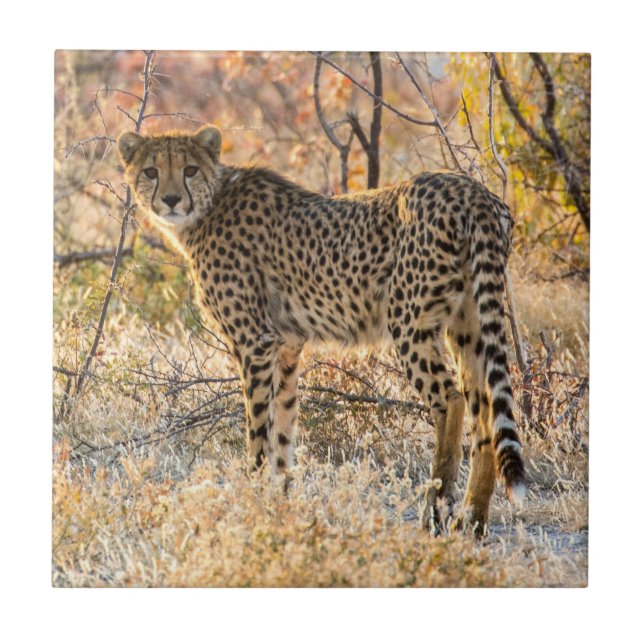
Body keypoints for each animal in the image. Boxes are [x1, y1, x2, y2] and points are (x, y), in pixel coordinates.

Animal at [117, 125, 526, 535]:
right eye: (151, 171)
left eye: (189, 169)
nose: (171, 200)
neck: (209, 206)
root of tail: (470, 189)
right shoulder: (286, 345)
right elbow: (283, 427)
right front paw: (281, 503)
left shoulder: (254, 343)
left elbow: (258, 431)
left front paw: (253, 500)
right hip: (468, 323)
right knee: (485, 410)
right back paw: (473, 520)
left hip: (409, 321)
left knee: (451, 400)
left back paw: (436, 511)